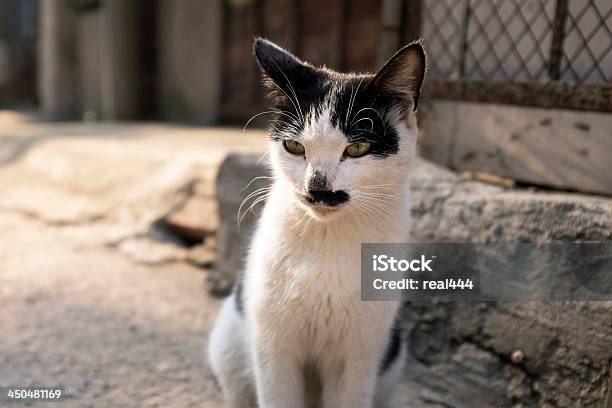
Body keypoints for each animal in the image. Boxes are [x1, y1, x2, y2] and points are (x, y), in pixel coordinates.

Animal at [208, 38, 424, 408]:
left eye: (358, 147)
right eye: (295, 146)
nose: (317, 187)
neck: (327, 241)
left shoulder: (359, 355)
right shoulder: (273, 349)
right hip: (228, 344)